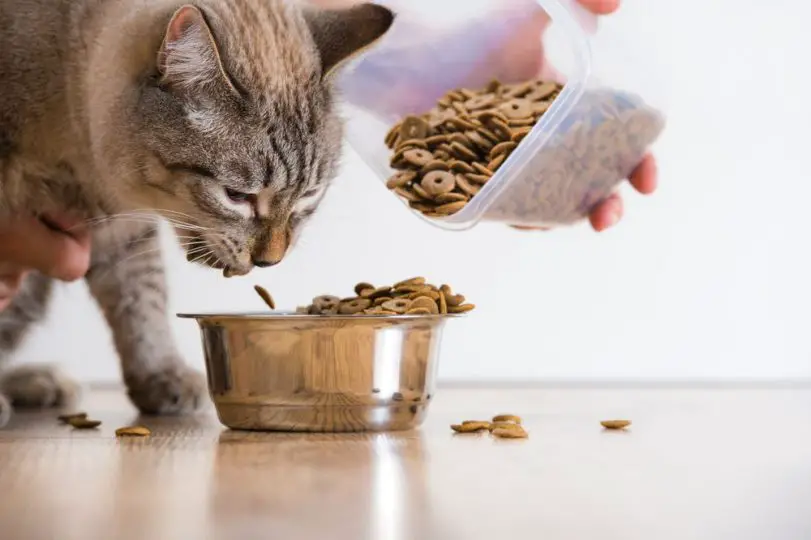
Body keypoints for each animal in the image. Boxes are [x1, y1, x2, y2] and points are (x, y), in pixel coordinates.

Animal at [0, 0, 394, 426]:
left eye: (308, 196)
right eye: (237, 196)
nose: (270, 260)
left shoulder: (126, 227)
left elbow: (143, 301)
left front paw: (163, 377)